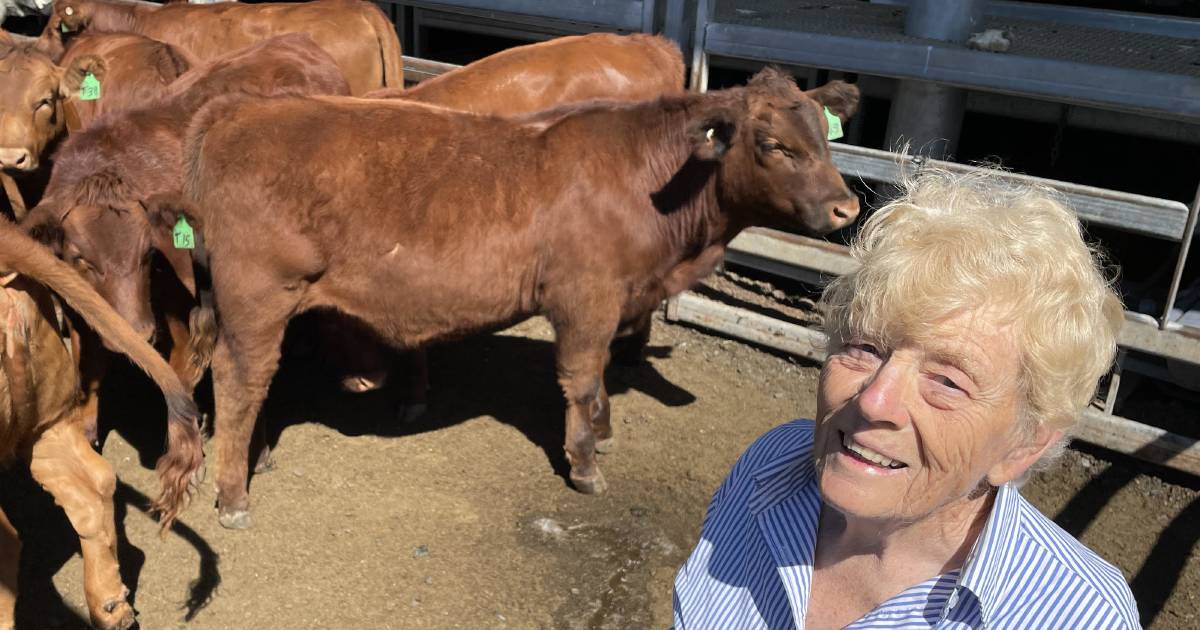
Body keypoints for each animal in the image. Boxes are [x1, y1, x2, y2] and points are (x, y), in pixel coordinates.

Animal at [21, 34, 350, 444]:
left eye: (148, 254)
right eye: (80, 258)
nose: (139, 332)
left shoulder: (191, 308)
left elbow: (180, 374)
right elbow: (89, 365)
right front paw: (86, 428)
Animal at [166, 67, 864, 525]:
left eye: (826, 138)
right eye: (774, 144)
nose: (846, 207)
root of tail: (237, 111)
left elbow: (601, 375)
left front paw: (603, 432)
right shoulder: (585, 297)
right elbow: (581, 378)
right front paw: (585, 464)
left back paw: (255, 458)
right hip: (259, 299)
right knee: (241, 380)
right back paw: (234, 495)